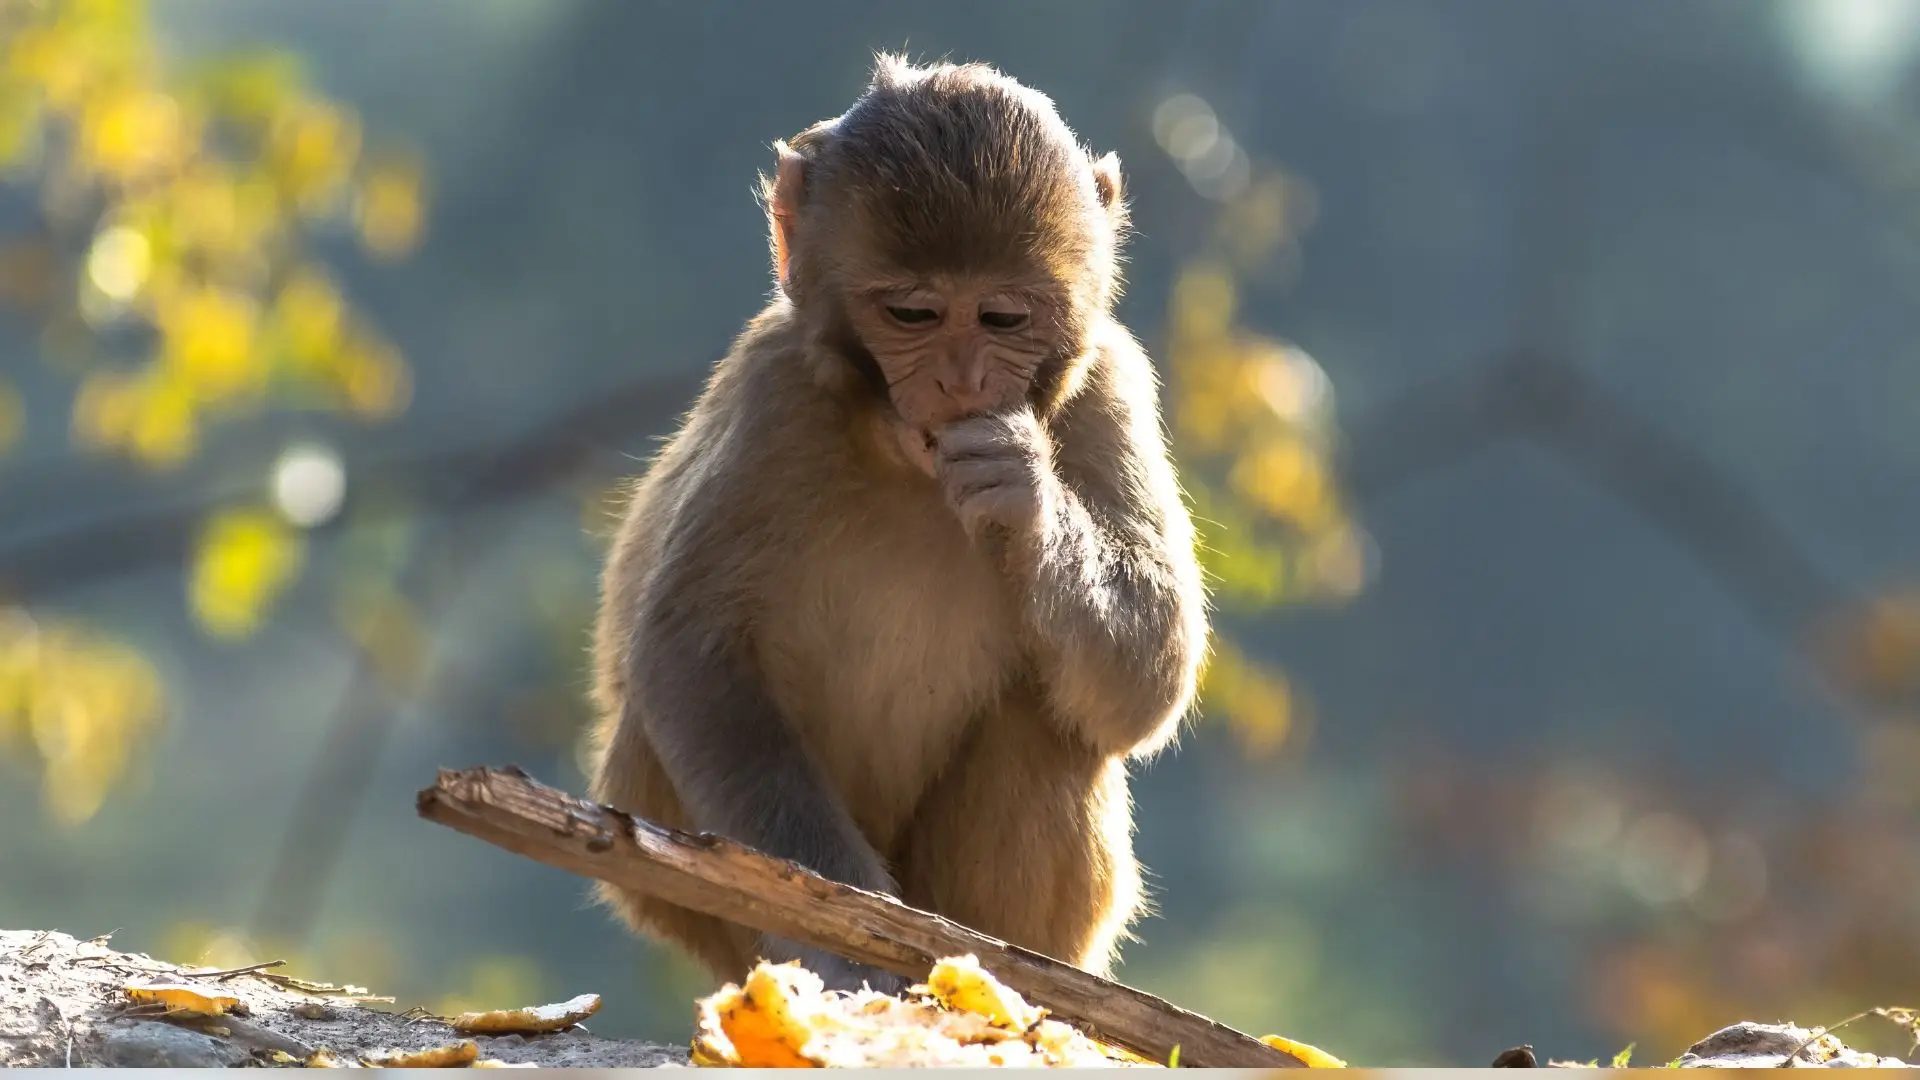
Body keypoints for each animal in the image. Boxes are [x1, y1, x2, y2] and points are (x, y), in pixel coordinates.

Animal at [587, 54, 1208, 997]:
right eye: (913, 315)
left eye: (1004, 317)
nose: (961, 383)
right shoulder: (776, 398)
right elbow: (693, 660)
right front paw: (847, 943)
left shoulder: (1112, 382)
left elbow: (1151, 675)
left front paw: (1022, 491)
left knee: (1052, 722)